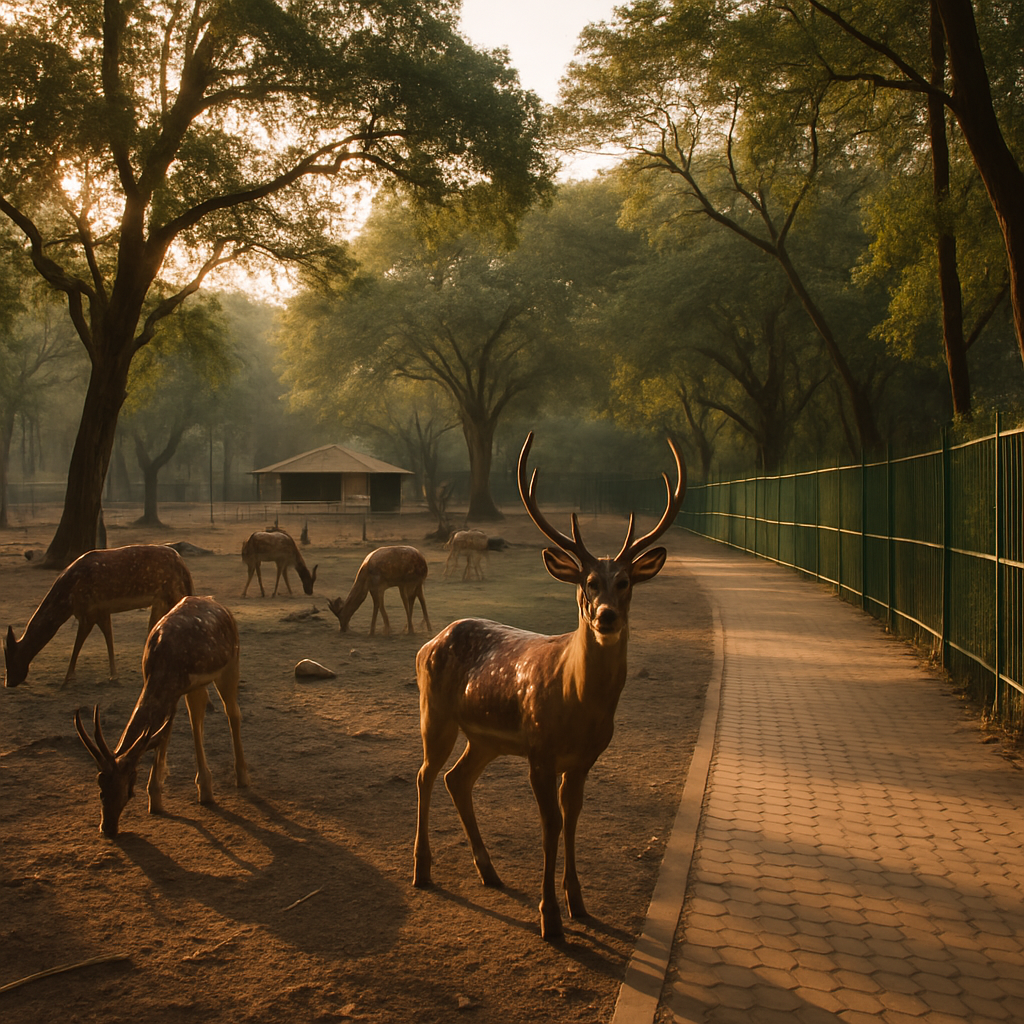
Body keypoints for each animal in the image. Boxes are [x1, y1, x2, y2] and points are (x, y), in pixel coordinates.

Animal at [3, 545, 195, 689]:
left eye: (11, 654)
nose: (9, 682)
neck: (67, 601)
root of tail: (184, 568)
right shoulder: (101, 610)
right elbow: (108, 637)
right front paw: (113, 676)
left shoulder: (89, 610)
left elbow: (79, 642)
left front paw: (67, 679)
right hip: (161, 601)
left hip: (172, 594)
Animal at [75, 595, 249, 837]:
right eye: (100, 787)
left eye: (127, 786)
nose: (107, 828)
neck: (162, 663)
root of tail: (217, 603)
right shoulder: (165, 685)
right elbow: (162, 734)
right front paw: (156, 799)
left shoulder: (175, 690)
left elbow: (163, 733)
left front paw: (156, 797)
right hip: (197, 685)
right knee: (197, 713)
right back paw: (205, 788)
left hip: (232, 662)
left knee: (232, 711)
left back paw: (241, 778)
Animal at [412, 432, 685, 941]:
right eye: (589, 581)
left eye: (625, 582)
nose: (605, 616)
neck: (578, 705)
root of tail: (428, 643)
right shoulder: (539, 750)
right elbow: (549, 827)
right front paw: (550, 918)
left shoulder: (584, 758)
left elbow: (573, 819)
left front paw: (579, 904)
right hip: (433, 713)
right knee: (425, 775)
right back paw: (421, 870)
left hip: (484, 738)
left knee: (457, 778)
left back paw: (490, 872)